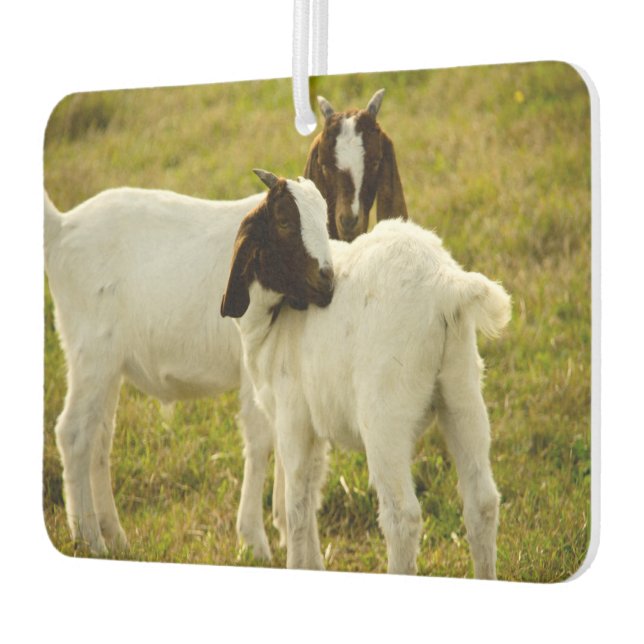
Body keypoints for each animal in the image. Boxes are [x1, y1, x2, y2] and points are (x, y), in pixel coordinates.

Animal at [44, 187, 282, 558]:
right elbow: (260, 442)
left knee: (99, 437)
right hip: (92, 349)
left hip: (106, 363)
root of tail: (61, 226)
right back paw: (91, 540)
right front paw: (256, 543)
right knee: (74, 433)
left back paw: (115, 535)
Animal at [222, 170, 511, 577]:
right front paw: (313, 566)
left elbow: (295, 506)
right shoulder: (315, 426)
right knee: (482, 502)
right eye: (284, 221)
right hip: (463, 390)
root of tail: (444, 285)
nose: (326, 283)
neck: (271, 322)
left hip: (385, 414)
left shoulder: (293, 417)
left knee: (402, 516)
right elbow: (310, 497)